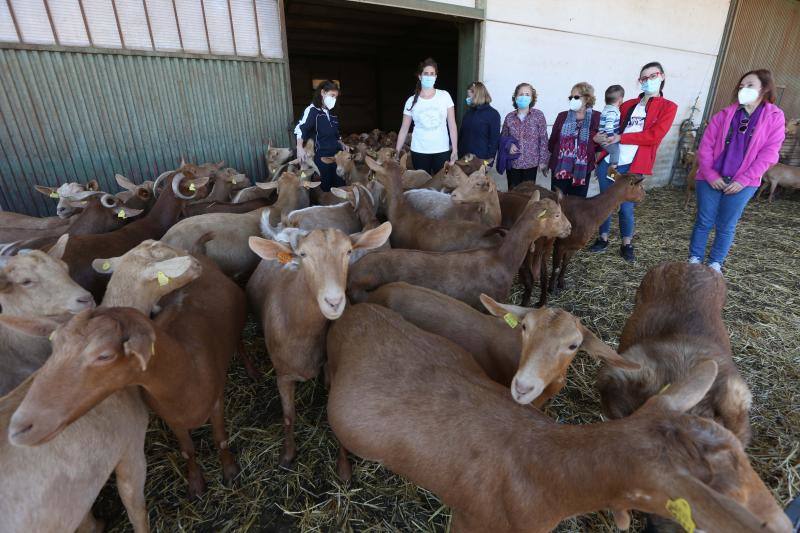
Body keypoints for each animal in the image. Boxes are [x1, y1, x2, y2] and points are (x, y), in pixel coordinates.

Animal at [245, 222, 392, 464]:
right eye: (303, 254)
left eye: (348, 251)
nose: (334, 302)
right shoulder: (282, 375)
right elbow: (288, 416)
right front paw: (287, 455)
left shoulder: (329, 367)